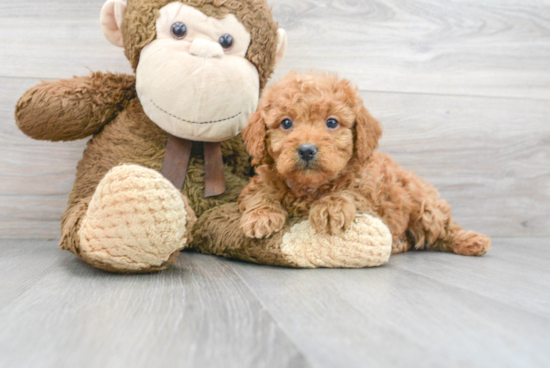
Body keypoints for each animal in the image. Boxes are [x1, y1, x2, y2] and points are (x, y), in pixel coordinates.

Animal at [239, 72, 494, 256]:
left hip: (426, 209)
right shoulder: (260, 180)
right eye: (286, 123)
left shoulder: (368, 193)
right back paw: (399, 243)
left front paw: (330, 207)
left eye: (332, 122)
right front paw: (261, 216)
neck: (309, 187)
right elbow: (261, 192)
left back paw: (471, 240)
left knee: (445, 228)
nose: (307, 150)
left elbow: (349, 192)